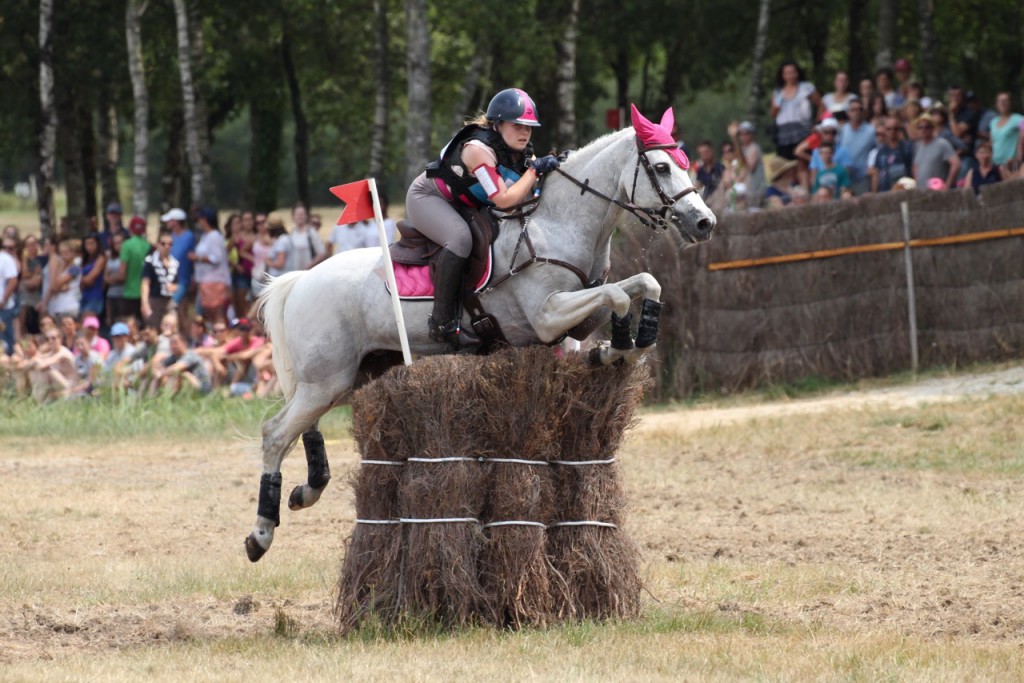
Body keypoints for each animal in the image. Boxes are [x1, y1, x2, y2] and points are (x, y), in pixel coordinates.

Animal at [243, 111, 716, 561]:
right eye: (661, 166)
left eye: (685, 163)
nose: (704, 222)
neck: (560, 223)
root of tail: (301, 279)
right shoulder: (548, 315)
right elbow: (618, 293)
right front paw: (618, 345)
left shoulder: (576, 317)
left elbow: (643, 283)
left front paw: (621, 345)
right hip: (327, 379)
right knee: (274, 434)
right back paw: (260, 534)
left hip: (353, 376)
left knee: (301, 427)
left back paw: (306, 490)